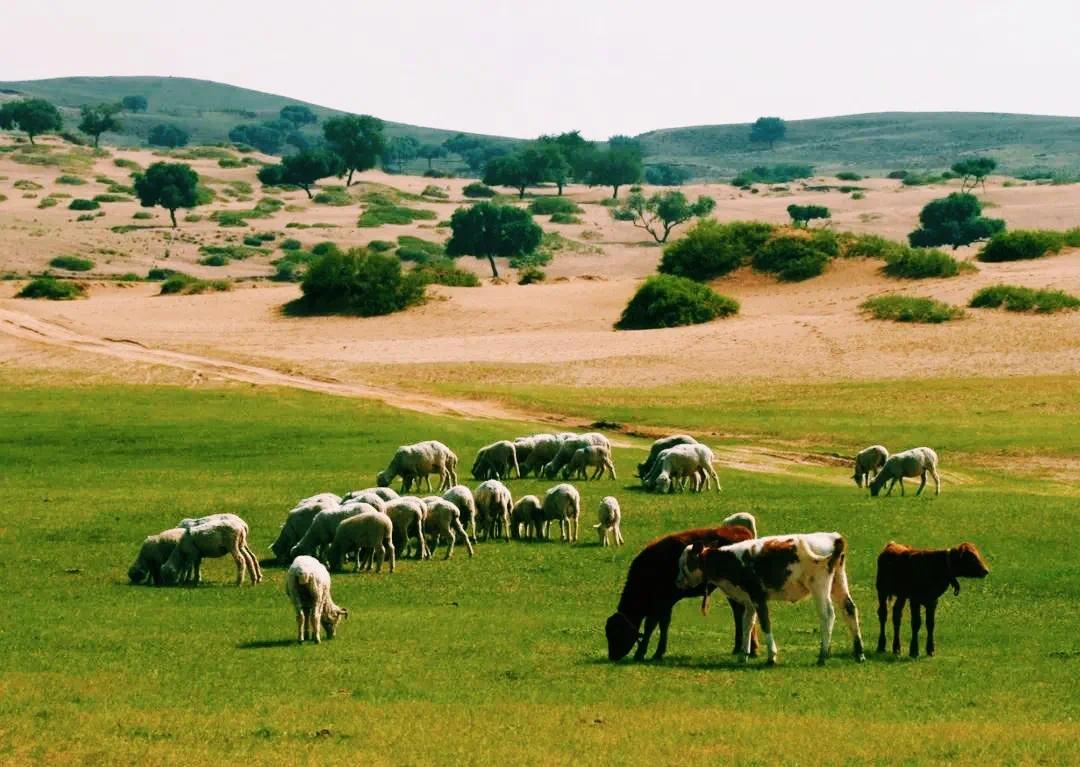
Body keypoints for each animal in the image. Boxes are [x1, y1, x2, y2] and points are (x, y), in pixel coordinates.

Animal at [673, 535, 868, 665]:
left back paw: (823, 655)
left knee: (828, 615)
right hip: (838, 582)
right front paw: (743, 654)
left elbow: (765, 623)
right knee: (849, 609)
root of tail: (834, 537)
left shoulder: (758, 597)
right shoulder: (749, 601)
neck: (733, 560)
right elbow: (747, 624)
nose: (677, 582)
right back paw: (859, 653)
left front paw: (771, 656)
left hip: (820, 586)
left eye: (684, 564)